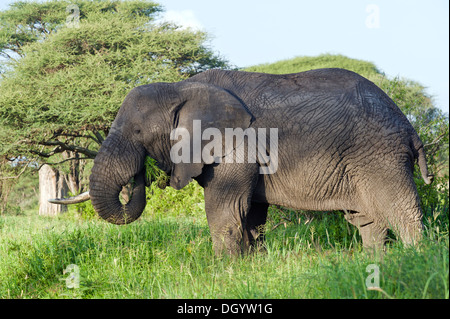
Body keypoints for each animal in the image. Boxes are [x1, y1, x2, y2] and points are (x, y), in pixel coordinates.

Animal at [51, 69, 434, 256]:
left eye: (138, 131)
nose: (139, 175)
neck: (181, 88)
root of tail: (409, 126)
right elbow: (251, 215)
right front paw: (252, 265)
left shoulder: (235, 143)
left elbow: (227, 209)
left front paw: (223, 272)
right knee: (366, 219)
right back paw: (375, 265)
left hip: (380, 154)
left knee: (401, 210)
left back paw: (415, 259)